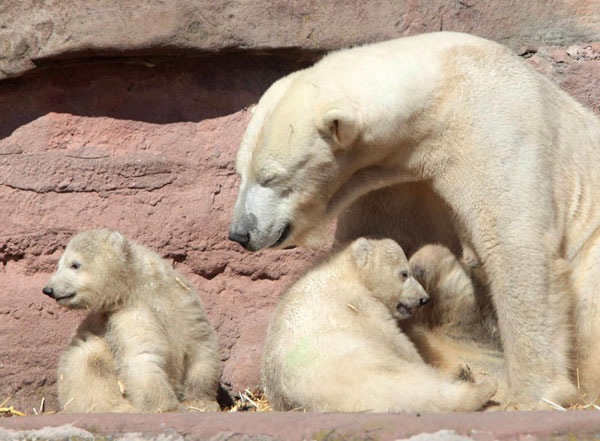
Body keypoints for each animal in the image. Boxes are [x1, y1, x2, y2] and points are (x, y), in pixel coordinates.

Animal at [227, 32, 596, 408]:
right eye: (240, 172)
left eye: (270, 176)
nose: (240, 233)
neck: (443, 93)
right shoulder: (401, 180)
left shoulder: (497, 130)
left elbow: (517, 248)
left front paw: (536, 394)